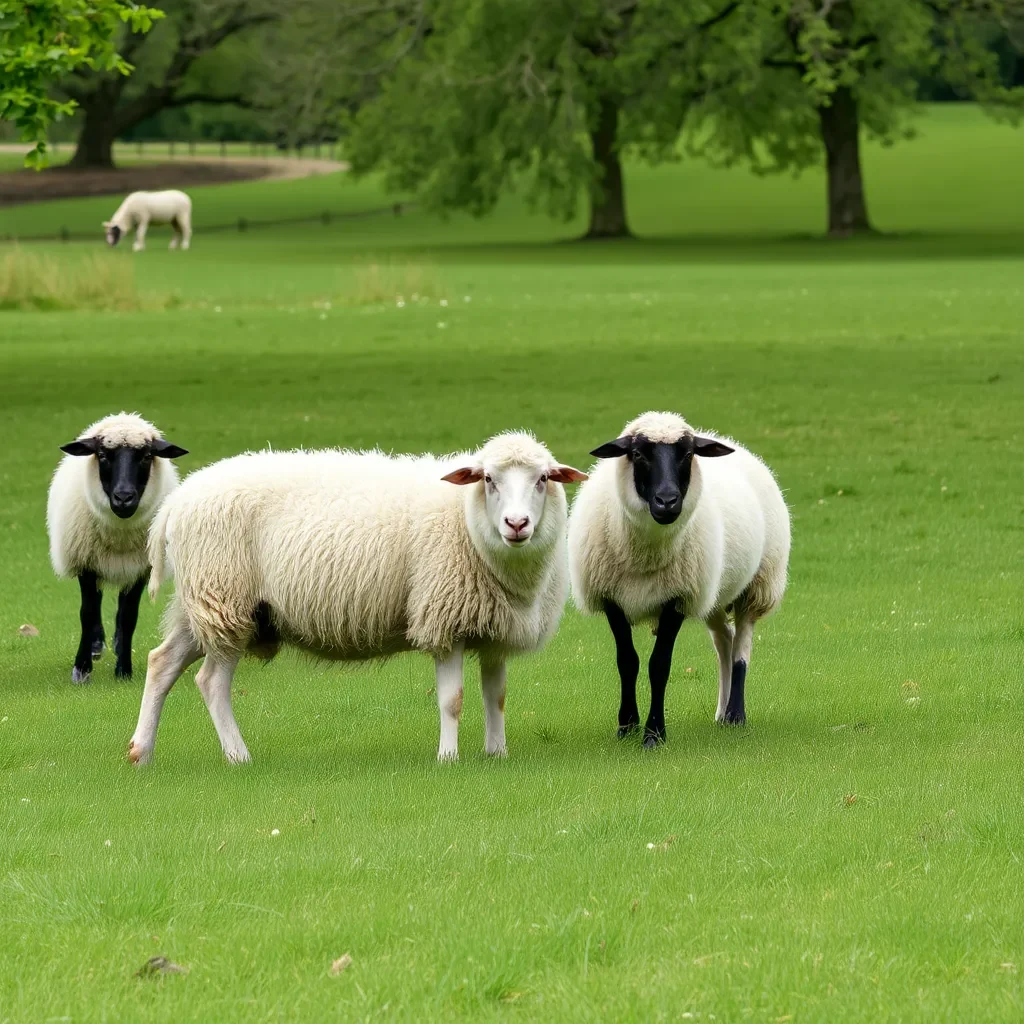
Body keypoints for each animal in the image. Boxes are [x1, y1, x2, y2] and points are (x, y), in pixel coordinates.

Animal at [46, 411, 191, 684]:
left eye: (146, 456)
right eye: (102, 455)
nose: (124, 498)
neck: (119, 536)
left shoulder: (141, 568)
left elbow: (128, 617)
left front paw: (124, 670)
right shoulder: (86, 564)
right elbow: (87, 612)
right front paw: (81, 668)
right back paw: (95, 645)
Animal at [128, 428, 589, 765]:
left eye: (543, 479)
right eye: (489, 479)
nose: (517, 524)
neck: (466, 521)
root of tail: (176, 501)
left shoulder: (495, 628)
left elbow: (497, 697)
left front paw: (497, 754)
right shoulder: (442, 618)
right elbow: (452, 700)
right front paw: (448, 758)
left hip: (202, 603)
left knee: (161, 663)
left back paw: (141, 752)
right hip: (225, 600)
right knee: (211, 683)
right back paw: (239, 756)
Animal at [569, 411, 790, 749]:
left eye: (687, 454)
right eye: (637, 454)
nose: (667, 501)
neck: (645, 554)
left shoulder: (677, 598)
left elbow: (659, 665)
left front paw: (653, 734)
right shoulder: (611, 599)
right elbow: (627, 662)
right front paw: (626, 726)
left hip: (758, 585)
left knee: (741, 647)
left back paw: (736, 714)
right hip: (713, 592)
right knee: (724, 642)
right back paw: (721, 713)